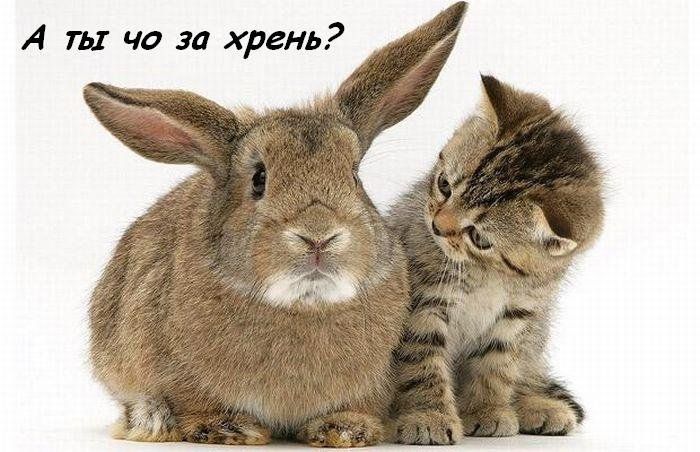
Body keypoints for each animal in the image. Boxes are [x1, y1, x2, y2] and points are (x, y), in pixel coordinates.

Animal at [84, 2, 467, 447]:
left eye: (354, 175)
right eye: (258, 179)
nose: (319, 237)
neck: (304, 303)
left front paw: (345, 429)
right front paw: (228, 428)